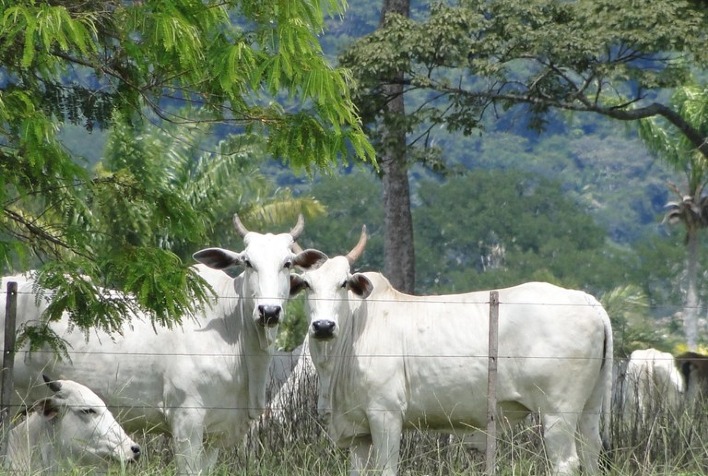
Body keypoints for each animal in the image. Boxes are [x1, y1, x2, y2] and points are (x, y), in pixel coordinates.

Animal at [288, 229, 612, 474]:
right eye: (307, 284)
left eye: (343, 283)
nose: (323, 326)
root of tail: (586, 300)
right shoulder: (358, 432)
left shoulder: (386, 415)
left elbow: (387, 468)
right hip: (589, 406)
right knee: (591, 451)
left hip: (558, 411)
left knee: (566, 462)